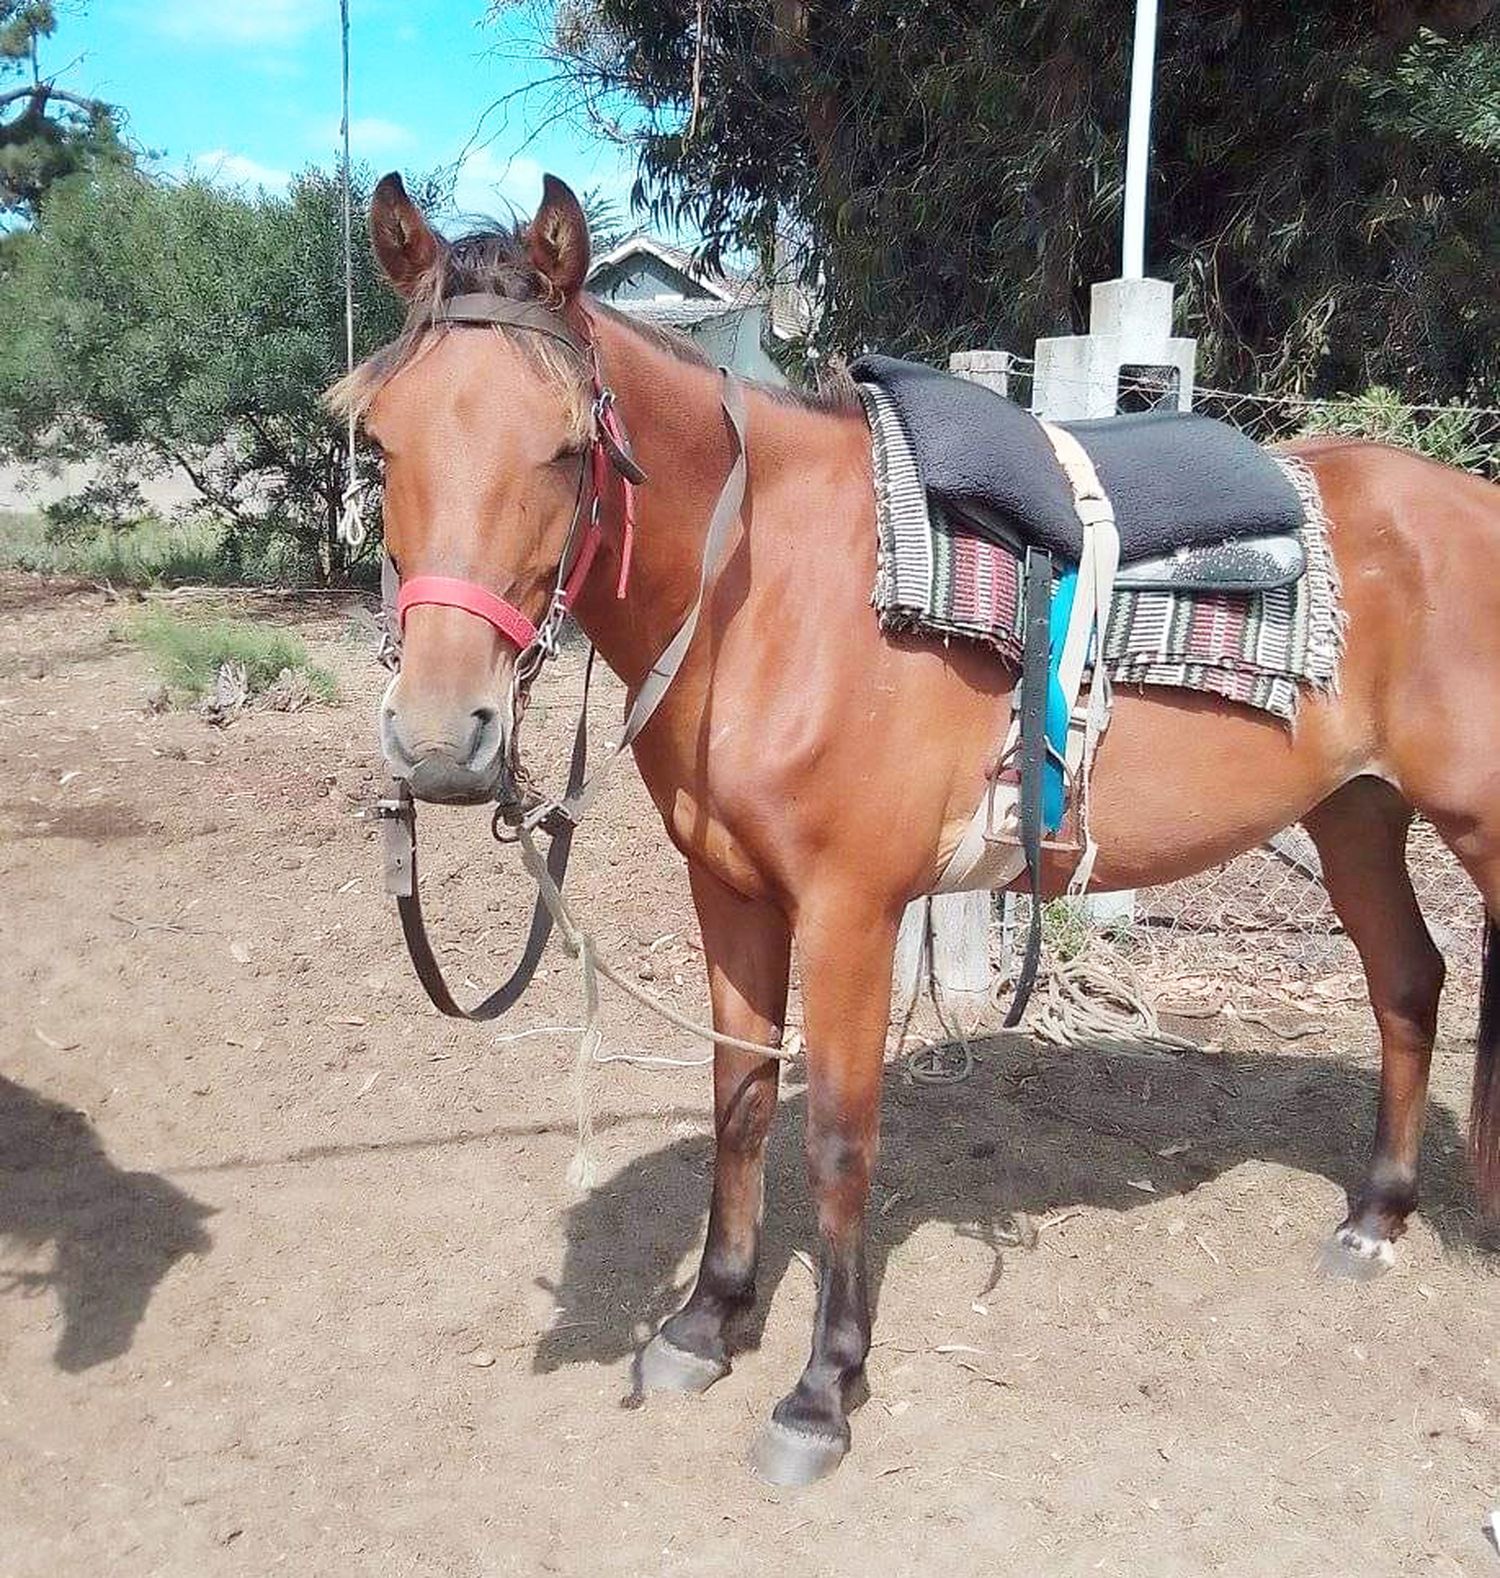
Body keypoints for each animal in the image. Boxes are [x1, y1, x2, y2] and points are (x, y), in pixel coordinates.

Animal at [334, 179, 1500, 1483]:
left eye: (568, 446)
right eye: (382, 441)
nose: (443, 738)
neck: (769, 595)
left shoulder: (851, 911)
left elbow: (841, 1138)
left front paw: (820, 1391)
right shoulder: (730, 896)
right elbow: (739, 1097)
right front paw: (707, 1321)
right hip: (1357, 810)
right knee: (1407, 980)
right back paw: (1374, 1218)